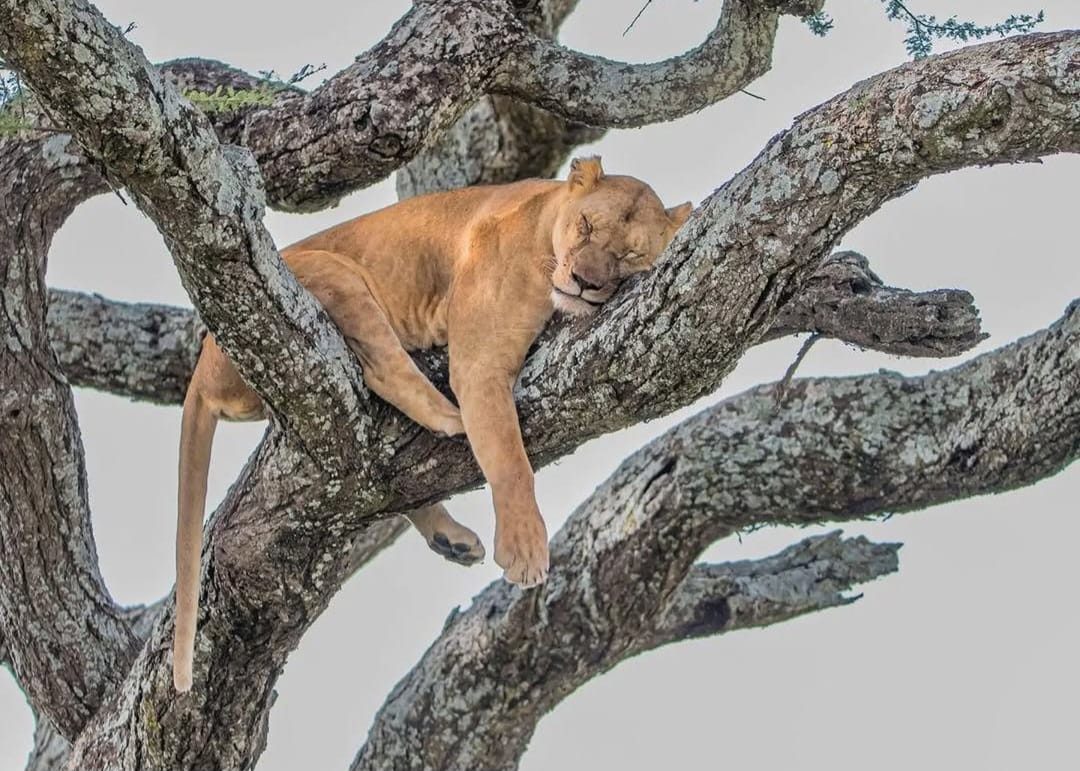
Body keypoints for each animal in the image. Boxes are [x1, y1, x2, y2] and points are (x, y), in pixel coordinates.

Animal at [173, 156, 692, 691]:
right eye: (586, 226)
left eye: (630, 255)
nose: (586, 281)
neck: (545, 218)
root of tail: (204, 363)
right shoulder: (479, 364)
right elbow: (510, 459)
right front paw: (525, 547)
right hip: (333, 271)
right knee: (381, 368)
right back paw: (450, 419)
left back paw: (451, 538)